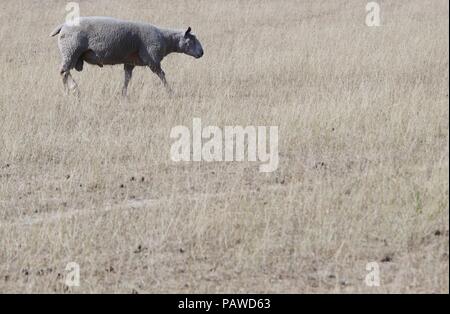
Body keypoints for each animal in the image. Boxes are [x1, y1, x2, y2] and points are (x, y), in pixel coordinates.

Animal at [50, 16, 203, 95]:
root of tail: (63, 25)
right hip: (71, 51)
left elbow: (127, 78)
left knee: (65, 72)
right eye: (192, 40)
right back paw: (71, 90)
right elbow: (162, 75)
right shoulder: (152, 59)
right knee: (64, 72)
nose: (202, 53)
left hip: (72, 53)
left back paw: (72, 89)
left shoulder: (130, 62)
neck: (166, 39)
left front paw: (123, 94)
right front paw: (170, 91)